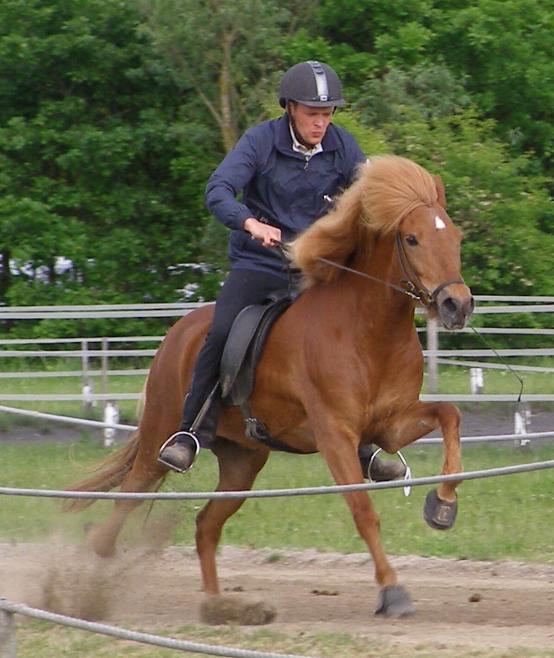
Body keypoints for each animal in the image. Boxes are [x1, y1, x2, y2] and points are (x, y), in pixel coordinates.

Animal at [64, 154, 470, 616]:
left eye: (455, 237)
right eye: (412, 239)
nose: (458, 304)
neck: (368, 330)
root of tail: (177, 333)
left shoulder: (389, 426)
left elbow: (450, 415)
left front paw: (443, 505)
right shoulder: (335, 436)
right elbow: (363, 510)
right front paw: (392, 591)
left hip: (242, 462)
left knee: (205, 525)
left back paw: (217, 608)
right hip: (158, 440)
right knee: (125, 505)